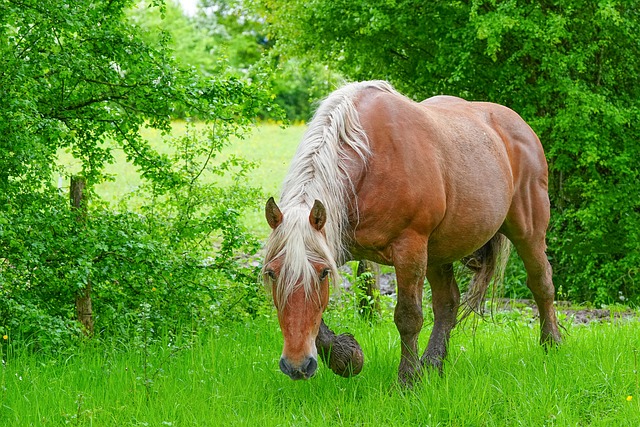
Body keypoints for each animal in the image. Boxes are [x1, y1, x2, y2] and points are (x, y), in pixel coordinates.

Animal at [260, 79, 560, 384]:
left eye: (322, 274)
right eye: (271, 273)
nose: (297, 365)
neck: (369, 160)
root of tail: (520, 126)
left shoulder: (409, 248)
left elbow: (408, 317)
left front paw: (407, 380)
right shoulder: (334, 245)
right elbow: (318, 316)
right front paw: (347, 357)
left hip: (528, 233)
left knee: (542, 284)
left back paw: (552, 345)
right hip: (438, 252)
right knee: (447, 304)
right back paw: (433, 363)